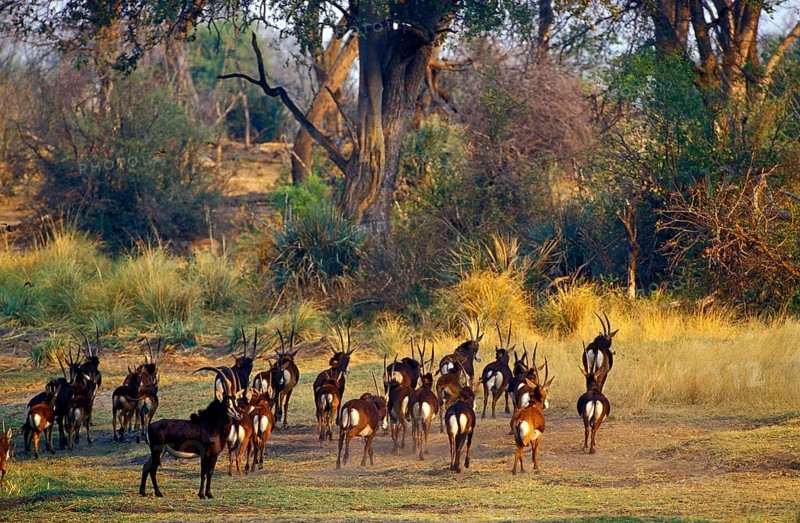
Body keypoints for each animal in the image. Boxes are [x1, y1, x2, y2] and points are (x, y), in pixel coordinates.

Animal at [140, 367, 242, 499]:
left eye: (236, 401)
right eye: (227, 403)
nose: (239, 414)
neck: (212, 425)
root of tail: (149, 427)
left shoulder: (214, 455)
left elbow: (210, 472)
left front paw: (209, 494)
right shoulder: (205, 454)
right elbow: (203, 473)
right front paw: (201, 495)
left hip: (160, 452)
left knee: (146, 467)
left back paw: (143, 492)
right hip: (157, 451)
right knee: (152, 470)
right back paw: (159, 493)